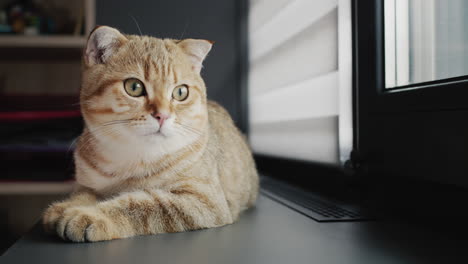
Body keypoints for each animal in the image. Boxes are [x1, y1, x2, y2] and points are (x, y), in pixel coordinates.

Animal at [42, 25, 258, 242]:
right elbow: (84, 194)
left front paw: (91, 215)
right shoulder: (86, 184)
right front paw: (66, 206)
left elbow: (140, 205)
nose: (162, 115)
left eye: (181, 92)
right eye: (134, 87)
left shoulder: (204, 201)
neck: (131, 156)